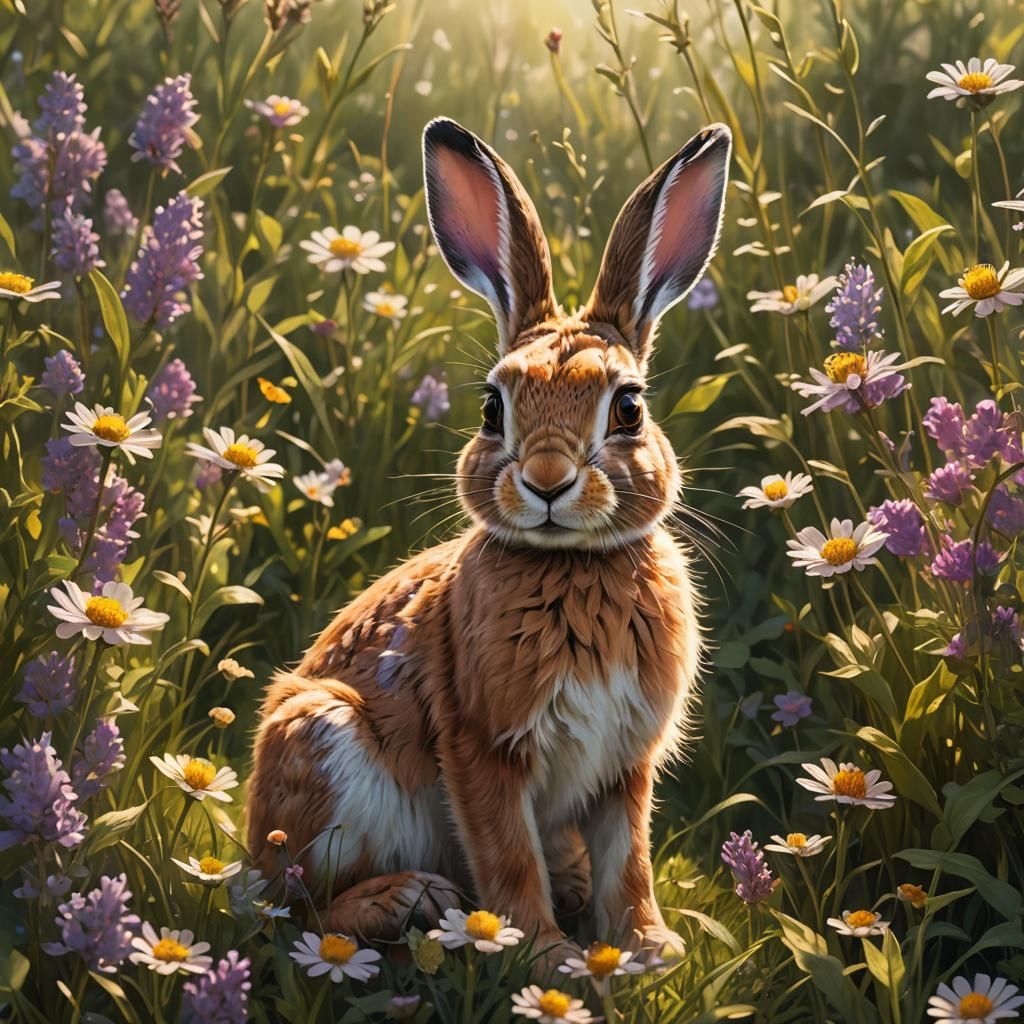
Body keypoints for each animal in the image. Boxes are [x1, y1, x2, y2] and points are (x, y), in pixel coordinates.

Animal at [246, 116, 732, 961]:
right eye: (490, 410)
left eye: (629, 408)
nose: (546, 481)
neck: (573, 567)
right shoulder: (484, 745)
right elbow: (507, 855)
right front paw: (545, 954)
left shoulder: (624, 767)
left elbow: (628, 858)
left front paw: (647, 947)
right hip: (324, 746)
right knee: (297, 909)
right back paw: (407, 900)